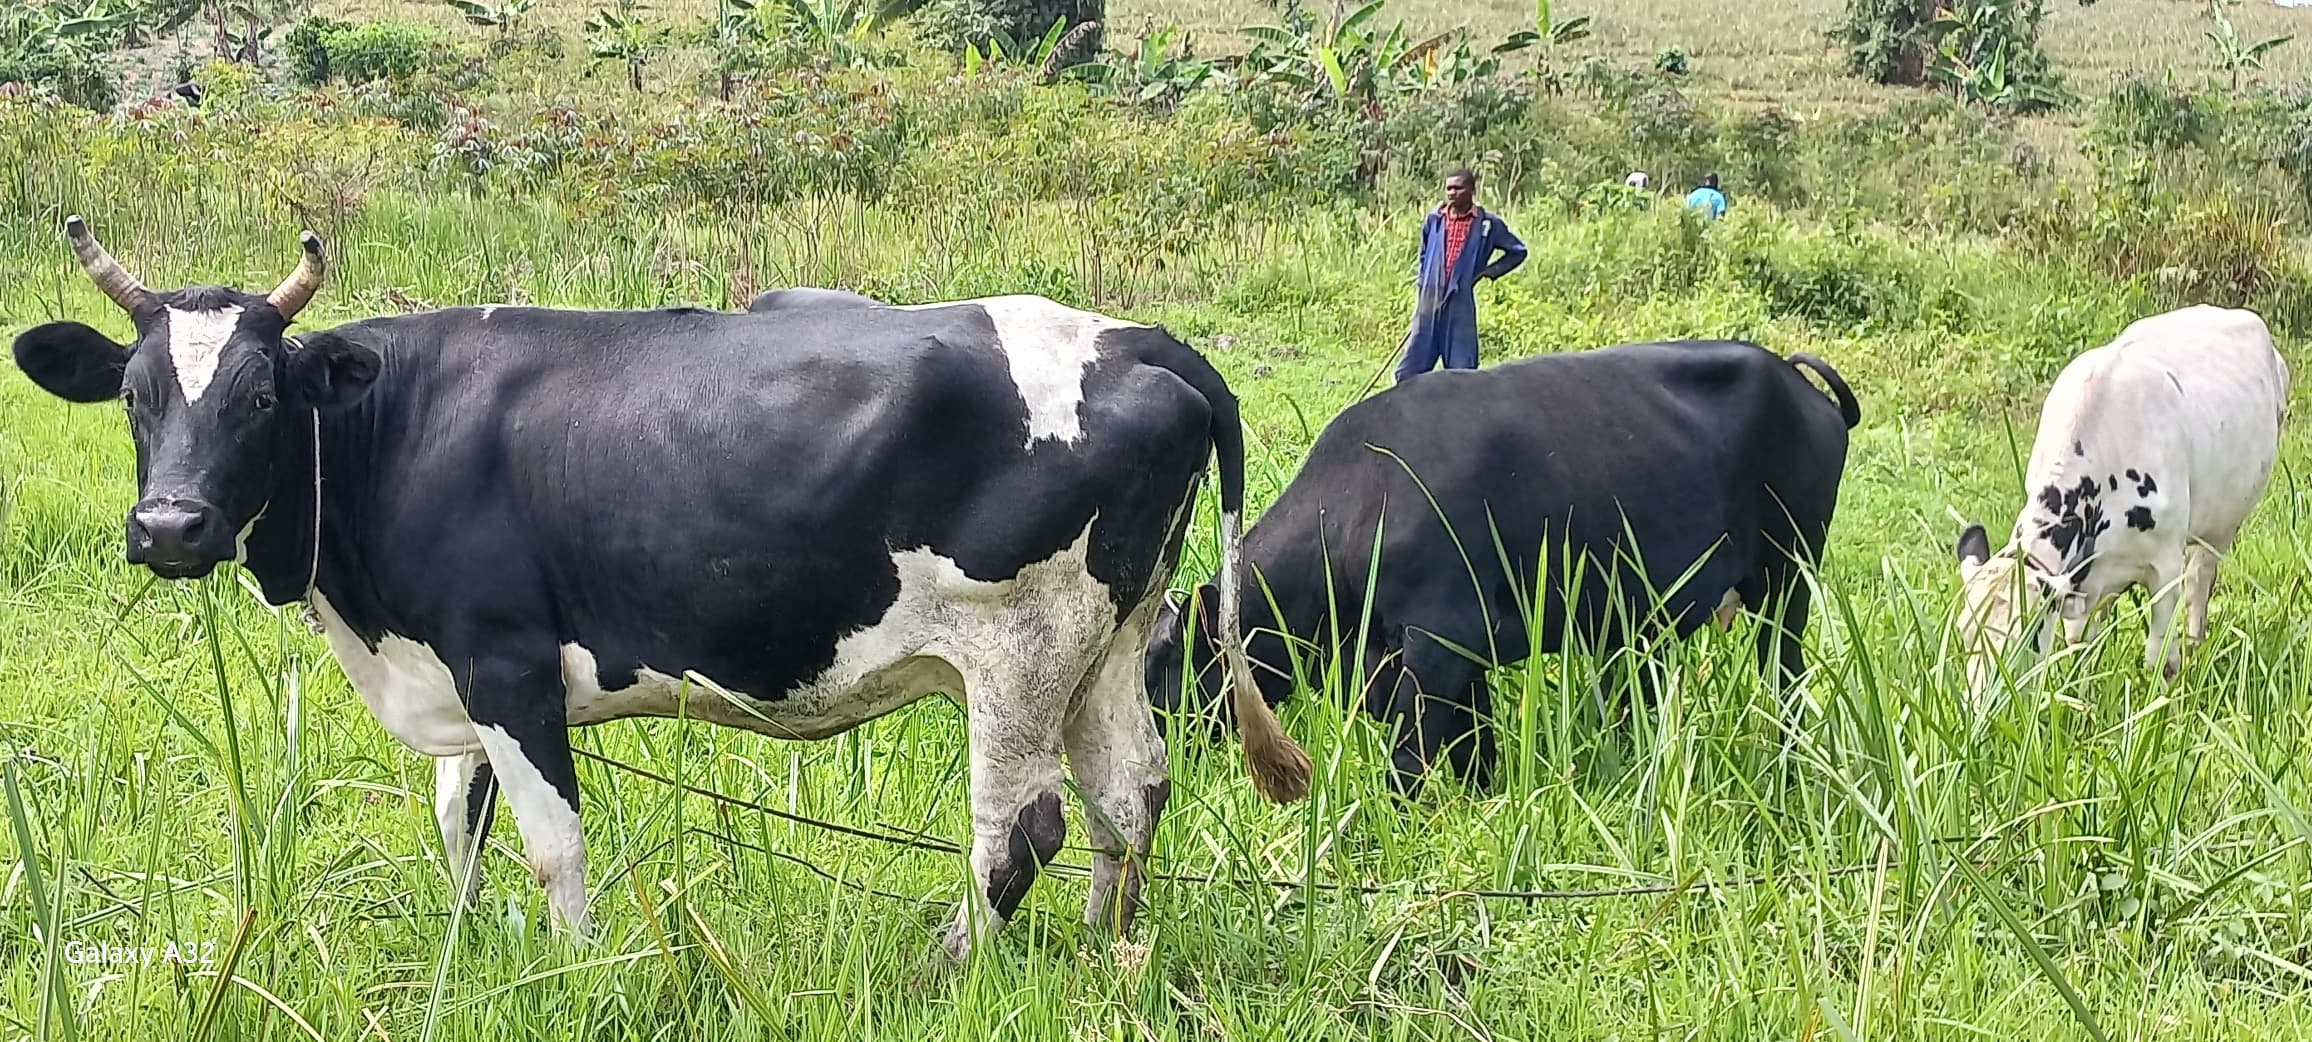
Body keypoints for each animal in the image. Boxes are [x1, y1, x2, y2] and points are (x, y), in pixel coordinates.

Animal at [18, 220, 1313, 961]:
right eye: (134, 395)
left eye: (259, 398)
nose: (169, 527)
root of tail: (1141, 338)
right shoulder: (450, 665)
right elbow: (456, 823)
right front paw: (469, 953)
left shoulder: (505, 659)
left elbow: (551, 843)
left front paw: (575, 969)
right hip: (1110, 636)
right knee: (1126, 796)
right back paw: (1103, 955)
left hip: (1019, 648)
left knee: (1022, 828)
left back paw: (950, 966)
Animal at [1151, 339, 1858, 790]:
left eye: (1161, 662)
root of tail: (1793, 377)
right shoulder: (1462, 657)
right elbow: (1476, 748)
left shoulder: (1437, 645)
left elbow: (1410, 763)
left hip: (1788, 578)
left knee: (1786, 677)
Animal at [1951, 302, 2293, 697]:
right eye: (1964, 633)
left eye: (2026, 637)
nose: (1980, 705)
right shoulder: (2085, 581)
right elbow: (2079, 650)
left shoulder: (2165, 567)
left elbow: (2160, 659)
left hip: (2224, 521)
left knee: (2199, 579)